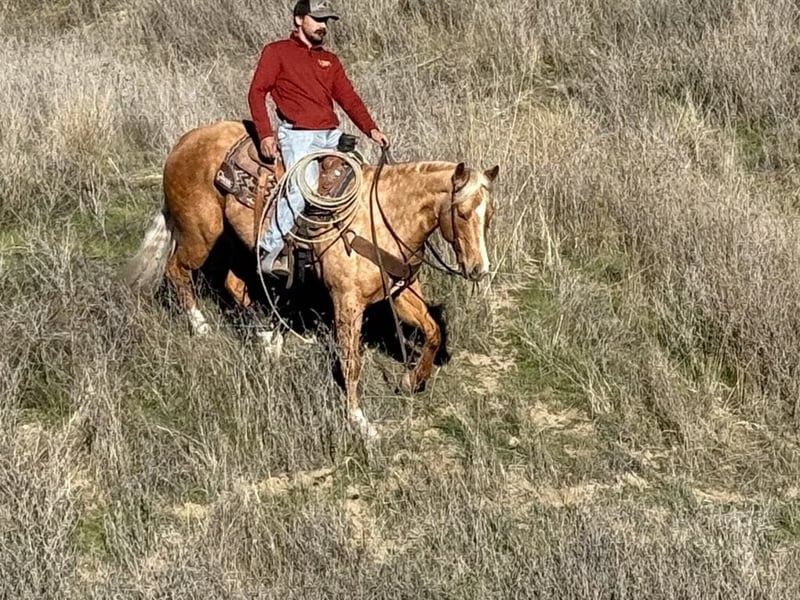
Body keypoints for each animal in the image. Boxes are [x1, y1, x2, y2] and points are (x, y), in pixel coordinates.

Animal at [124, 120, 500, 437]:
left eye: (490, 215)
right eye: (462, 213)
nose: (479, 269)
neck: (381, 216)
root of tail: (184, 142)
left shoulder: (401, 290)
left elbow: (433, 332)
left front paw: (411, 380)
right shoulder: (347, 302)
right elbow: (351, 361)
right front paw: (359, 421)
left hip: (233, 239)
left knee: (234, 282)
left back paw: (267, 340)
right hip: (200, 235)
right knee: (177, 270)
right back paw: (201, 326)